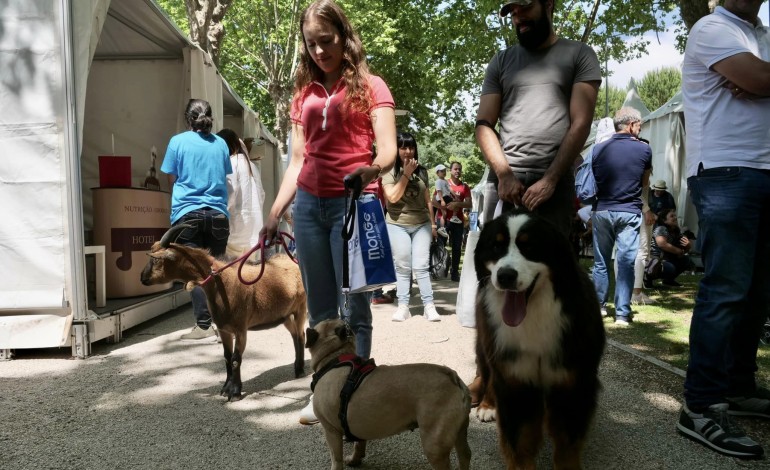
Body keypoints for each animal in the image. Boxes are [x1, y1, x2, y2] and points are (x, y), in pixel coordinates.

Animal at [141, 226, 306, 402]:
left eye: (156, 260)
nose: (142, 278)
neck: (222, 284)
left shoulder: (241, 329)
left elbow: (235, 359)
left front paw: (235, 392)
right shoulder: (224, 329)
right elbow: (227, 357)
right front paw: (225, 388)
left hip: (301, 308)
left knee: (301, 335)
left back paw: (300, 370)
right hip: (285, 315)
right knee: (295, 335)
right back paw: (297, 366)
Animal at [304, 320, 472, 470]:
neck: (335, 355)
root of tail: (452, 376)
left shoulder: (331, 431)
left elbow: (336, 459)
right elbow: (359, 444)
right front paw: (355, 460)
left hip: (434, 444)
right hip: (459, 433)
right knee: (465, 455)